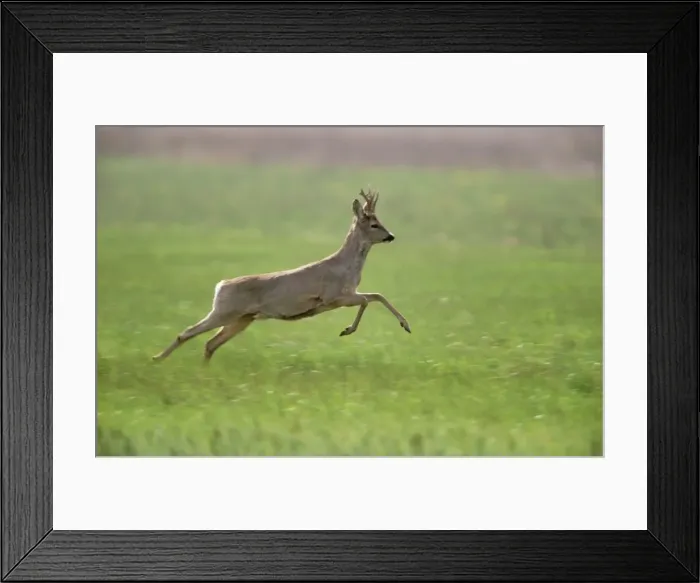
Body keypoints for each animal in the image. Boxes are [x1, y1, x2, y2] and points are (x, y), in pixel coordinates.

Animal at [152, 188, 411, 364]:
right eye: (374, 224)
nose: (391, 236)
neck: (346, 267)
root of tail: (221, 285)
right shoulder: (334, 297)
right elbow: (368, 299)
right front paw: (347, 330)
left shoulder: (349, 293)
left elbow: (377, 295)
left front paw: (406, 325)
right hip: (224, 311)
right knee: (186, 333)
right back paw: (156, 359)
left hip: (242, 318)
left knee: (210, 343)